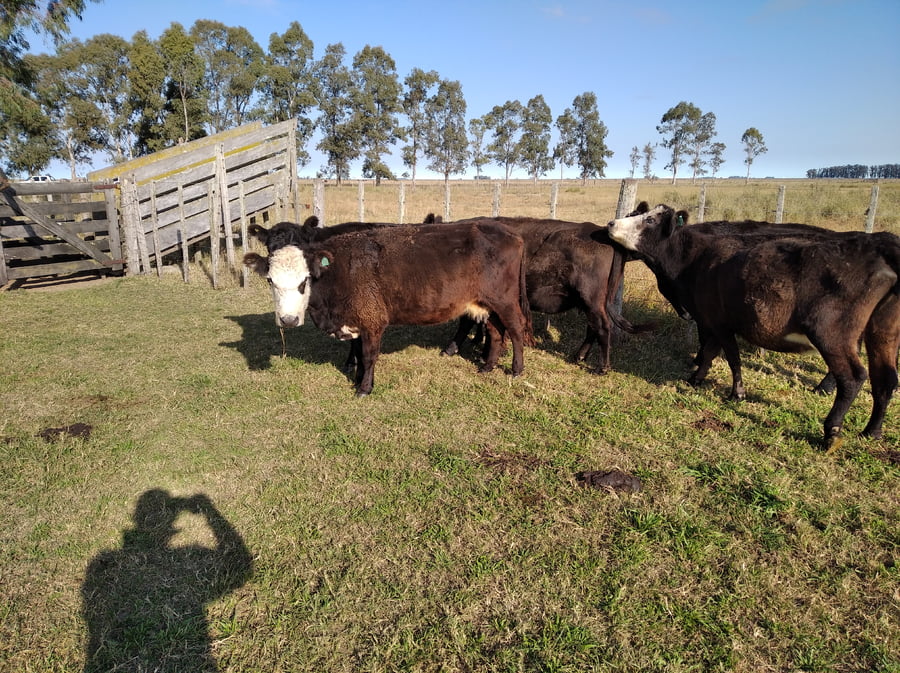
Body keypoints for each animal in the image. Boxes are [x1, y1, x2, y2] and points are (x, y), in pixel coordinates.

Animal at [243, 221, 532, 397]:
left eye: (305, 281)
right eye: (270, 280)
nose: (288, 320)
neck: (339, 272)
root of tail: (511, 232)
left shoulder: (372, 320)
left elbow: (369, 355)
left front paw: (364, 387)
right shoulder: (356, 322)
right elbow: (359, 353)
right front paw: (358, 378)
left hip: (505, 301)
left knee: (516, 330)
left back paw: (517, 370)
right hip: (486, 304)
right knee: (495, 332)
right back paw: (488, 366)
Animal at [436, 215, 650, 374]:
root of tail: (601, 232)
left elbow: (468, 322)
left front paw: (453, 349)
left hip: (592, 301)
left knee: (602, 328)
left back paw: (601, 367)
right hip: (592, 303)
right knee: (593, 328)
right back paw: (579, 356)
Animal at [607, 203, 900, 450]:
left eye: (650, 219)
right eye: (636, 213)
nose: (611, 223)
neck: (696, 259)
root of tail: (879, 243)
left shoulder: (718, 322)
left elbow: (729, 357)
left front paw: (735, 393)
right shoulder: (711, 319)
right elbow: (712, 351)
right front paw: (697, 377)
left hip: (831, 334)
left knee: (853, 377)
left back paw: (831, 431)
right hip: (883, 333)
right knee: (885, 378)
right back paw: (871, 431)